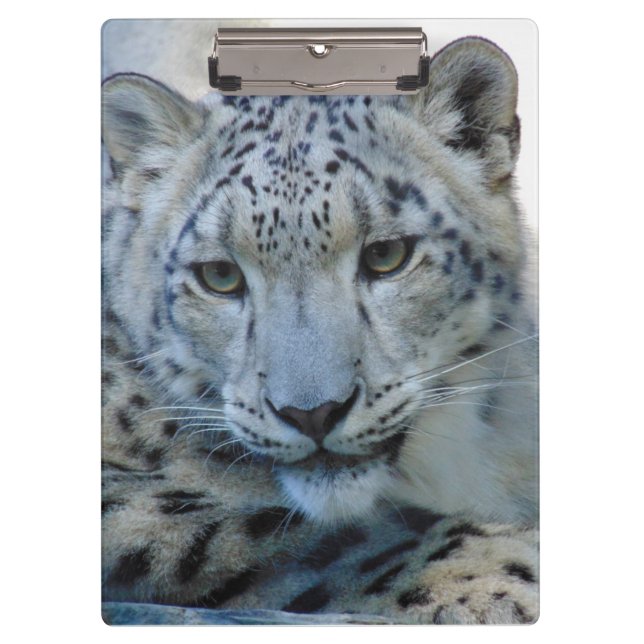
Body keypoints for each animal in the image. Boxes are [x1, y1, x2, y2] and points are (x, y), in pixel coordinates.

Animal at [101, 35, 539, 625]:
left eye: (386, 255)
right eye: (220, 275)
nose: (313, 412)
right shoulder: (133, 501)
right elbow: (289, 536)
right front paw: (502, 571)